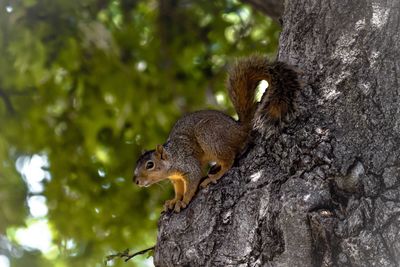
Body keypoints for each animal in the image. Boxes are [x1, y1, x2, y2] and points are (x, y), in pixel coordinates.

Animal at [134, 55, 300, 213]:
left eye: (150, 164)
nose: (135, 181)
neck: (172, 159)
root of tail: (239, 128)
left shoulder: (188, 165)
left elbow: (192, 184)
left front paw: (183, 201)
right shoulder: (176, 179)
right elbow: (179, 190)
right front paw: (174, 200)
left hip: (208, 135)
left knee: (229, 160)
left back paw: (215, 175)